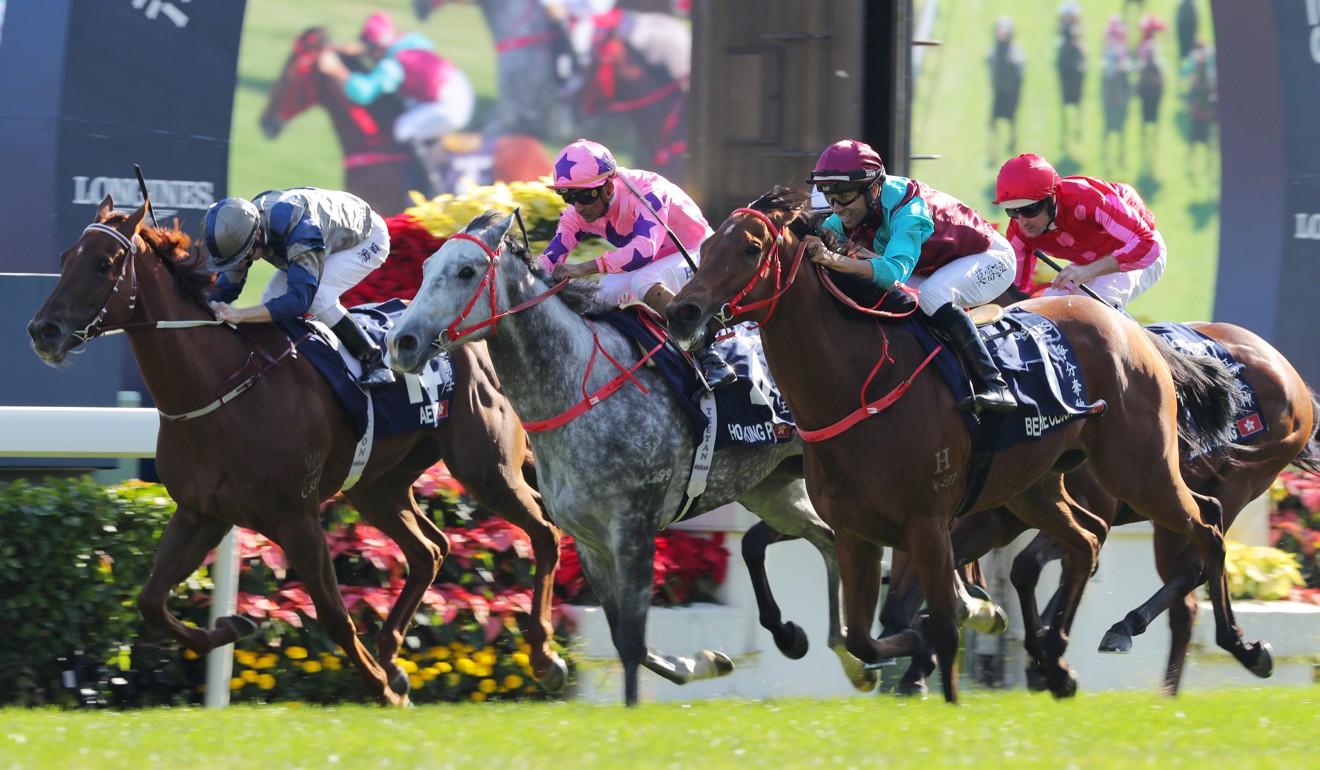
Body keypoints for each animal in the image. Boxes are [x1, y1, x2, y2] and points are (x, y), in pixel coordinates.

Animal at [25, 196, 562, 702]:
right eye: (66, 257)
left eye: (105, 264)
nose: (43, 331)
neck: (219, 390)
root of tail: (471, 336)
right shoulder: (203, 512)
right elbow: (151, 602)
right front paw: (231, 626)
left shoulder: (296, 518)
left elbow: (334, 615)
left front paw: (382, 691)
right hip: (377, 486)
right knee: (430, 549)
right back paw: (394, 656)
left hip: (485, 468)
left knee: (544, 530)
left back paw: (543, 655)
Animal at [382, 210, 992, 702]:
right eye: (427, 265)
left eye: (465, 272)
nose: (402, 342)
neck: (577, 388)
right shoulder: (589, 538)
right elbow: (626, 636)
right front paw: (702, 661)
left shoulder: (633, 525)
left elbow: (632, 641)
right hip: (775, 488)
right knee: (825, 538)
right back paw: (843, 648)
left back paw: (955, 612)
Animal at [665, 188, 1272, 702]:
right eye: (706, 244)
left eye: (751, 248)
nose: (681, 312)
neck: (861, 383)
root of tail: (1136, 332)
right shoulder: (856, 532)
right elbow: (865, 635)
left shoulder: (928, 526)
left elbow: (937, 625)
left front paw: (945, 666)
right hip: (1036, 486)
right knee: (1088, 538)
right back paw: (1058, 661)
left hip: (1138, 468)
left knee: (1206, 524)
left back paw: (1239, 646)